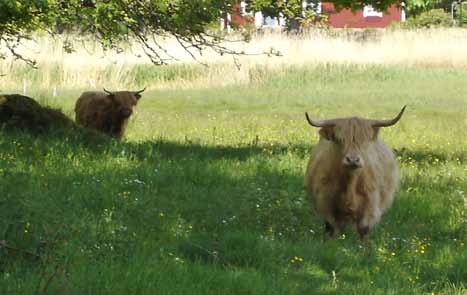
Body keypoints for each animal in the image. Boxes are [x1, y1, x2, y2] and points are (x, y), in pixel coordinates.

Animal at [304, 106, 406, 240]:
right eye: (339, 140)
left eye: (364, 140)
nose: (352, 160)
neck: (351, 182)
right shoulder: (325, 200)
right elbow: (332, 227)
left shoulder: (370, 204)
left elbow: (364, 229)